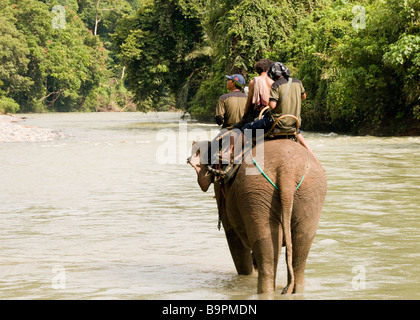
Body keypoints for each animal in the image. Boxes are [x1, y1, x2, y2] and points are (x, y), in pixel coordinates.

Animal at [188, 139, 328, 294]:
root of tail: (287, 171)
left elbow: (234, 240)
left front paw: (247, 275)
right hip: (308, 192)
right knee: (300, 248)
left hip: (256, 191)